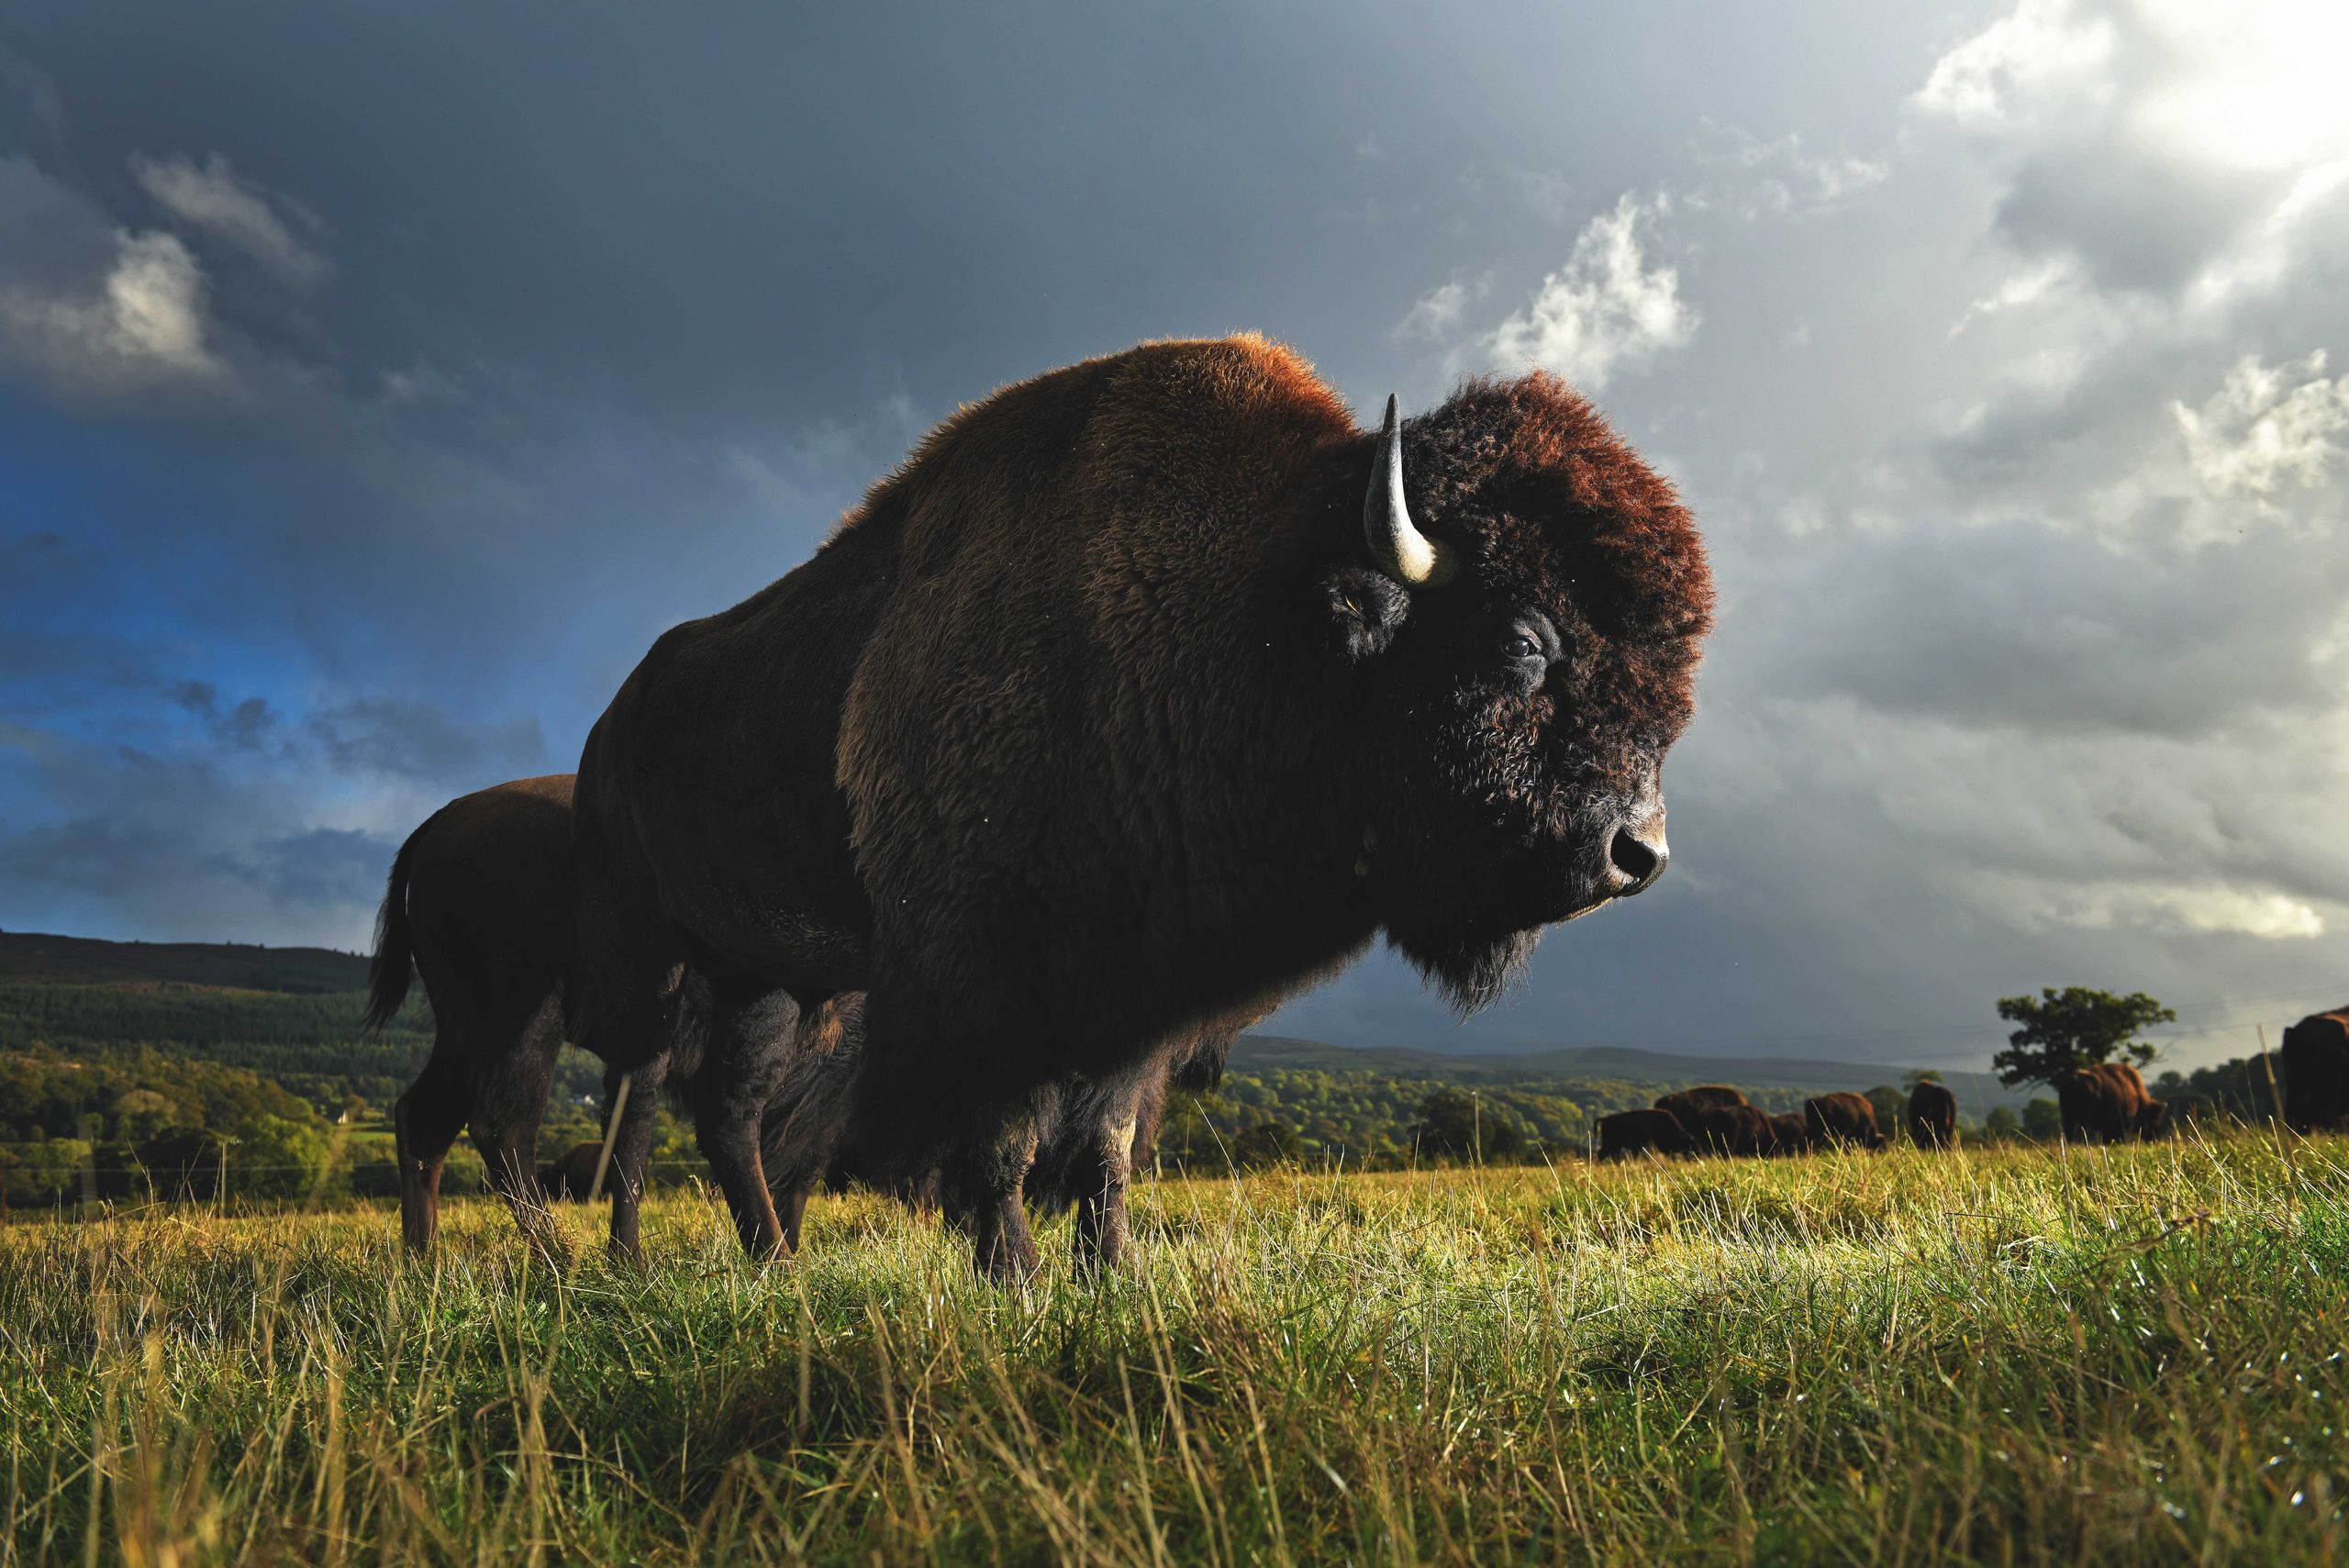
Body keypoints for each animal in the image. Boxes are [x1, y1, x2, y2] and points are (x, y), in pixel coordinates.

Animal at [568, 335, 1715, 1275]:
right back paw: (632, 1263)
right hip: (654, 960)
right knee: (642, 1111)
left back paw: (771, 1262)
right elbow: (998, 1142)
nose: (1636, 852)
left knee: (727, 1120)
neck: (1253, 606)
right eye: (1520, 638)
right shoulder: (986, 971)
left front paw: (1113, 1274)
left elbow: (1105, 1145)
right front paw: (1018, 1279)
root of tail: (610, 723)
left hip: (757, 973)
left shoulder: (1139, 994)